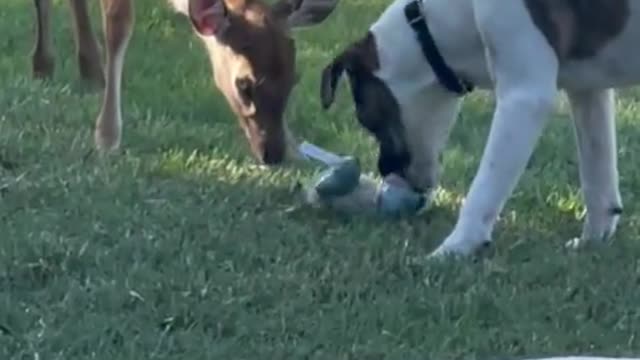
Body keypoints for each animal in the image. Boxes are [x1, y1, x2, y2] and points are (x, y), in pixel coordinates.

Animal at [30, 0, 340, 163]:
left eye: (294, 79)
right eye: (244, 84)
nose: (273, 153)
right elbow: (119, 22)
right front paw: (107, 137)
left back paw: (88, 70)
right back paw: (46, 63)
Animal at [318, 0, 636, 258]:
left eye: (366, 119)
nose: (383, 169)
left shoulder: (525, 98)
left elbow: (483, 189)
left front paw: (454, 249)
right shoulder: (589, 92)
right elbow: (597, 173)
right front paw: (593, 240)